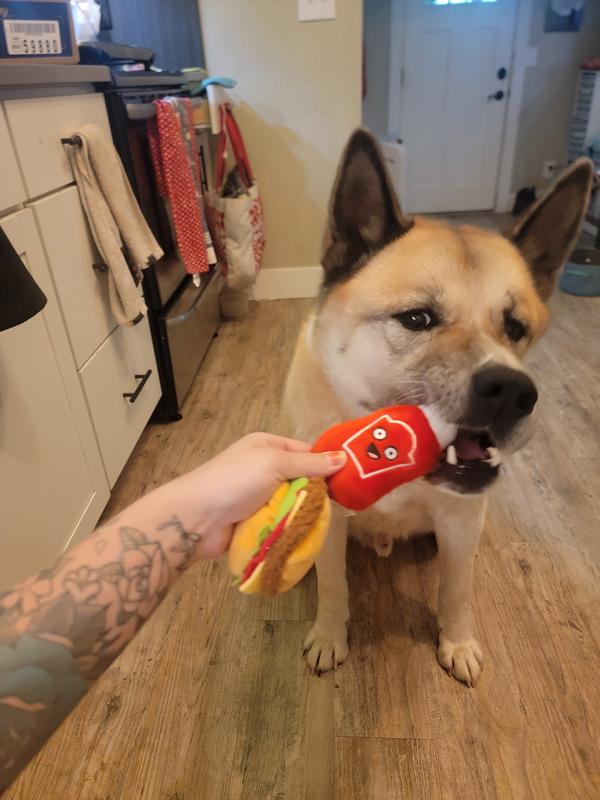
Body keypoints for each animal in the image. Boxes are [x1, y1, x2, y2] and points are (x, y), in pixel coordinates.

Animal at [283, 130, 592, 686]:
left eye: (515, 328)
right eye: (416, 318)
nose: (514, 391)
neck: (389, 458)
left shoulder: (461, 526)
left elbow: (457, 590)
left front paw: (458, 641)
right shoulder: (333, 521)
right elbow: (334, 585)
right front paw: (329, 636)